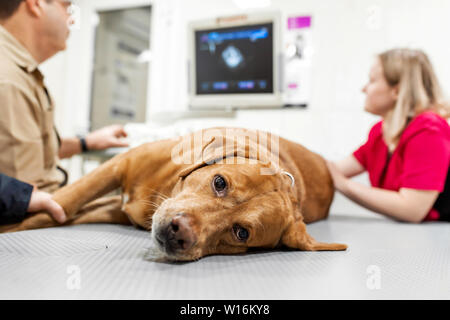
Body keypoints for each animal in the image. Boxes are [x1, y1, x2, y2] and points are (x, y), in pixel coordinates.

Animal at [0, 127, 348, 260]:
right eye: (219, 183)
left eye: (241, 233)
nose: (178, 232)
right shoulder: (119, 166)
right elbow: (62, 203)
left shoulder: (115, 209)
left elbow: (60, 214)